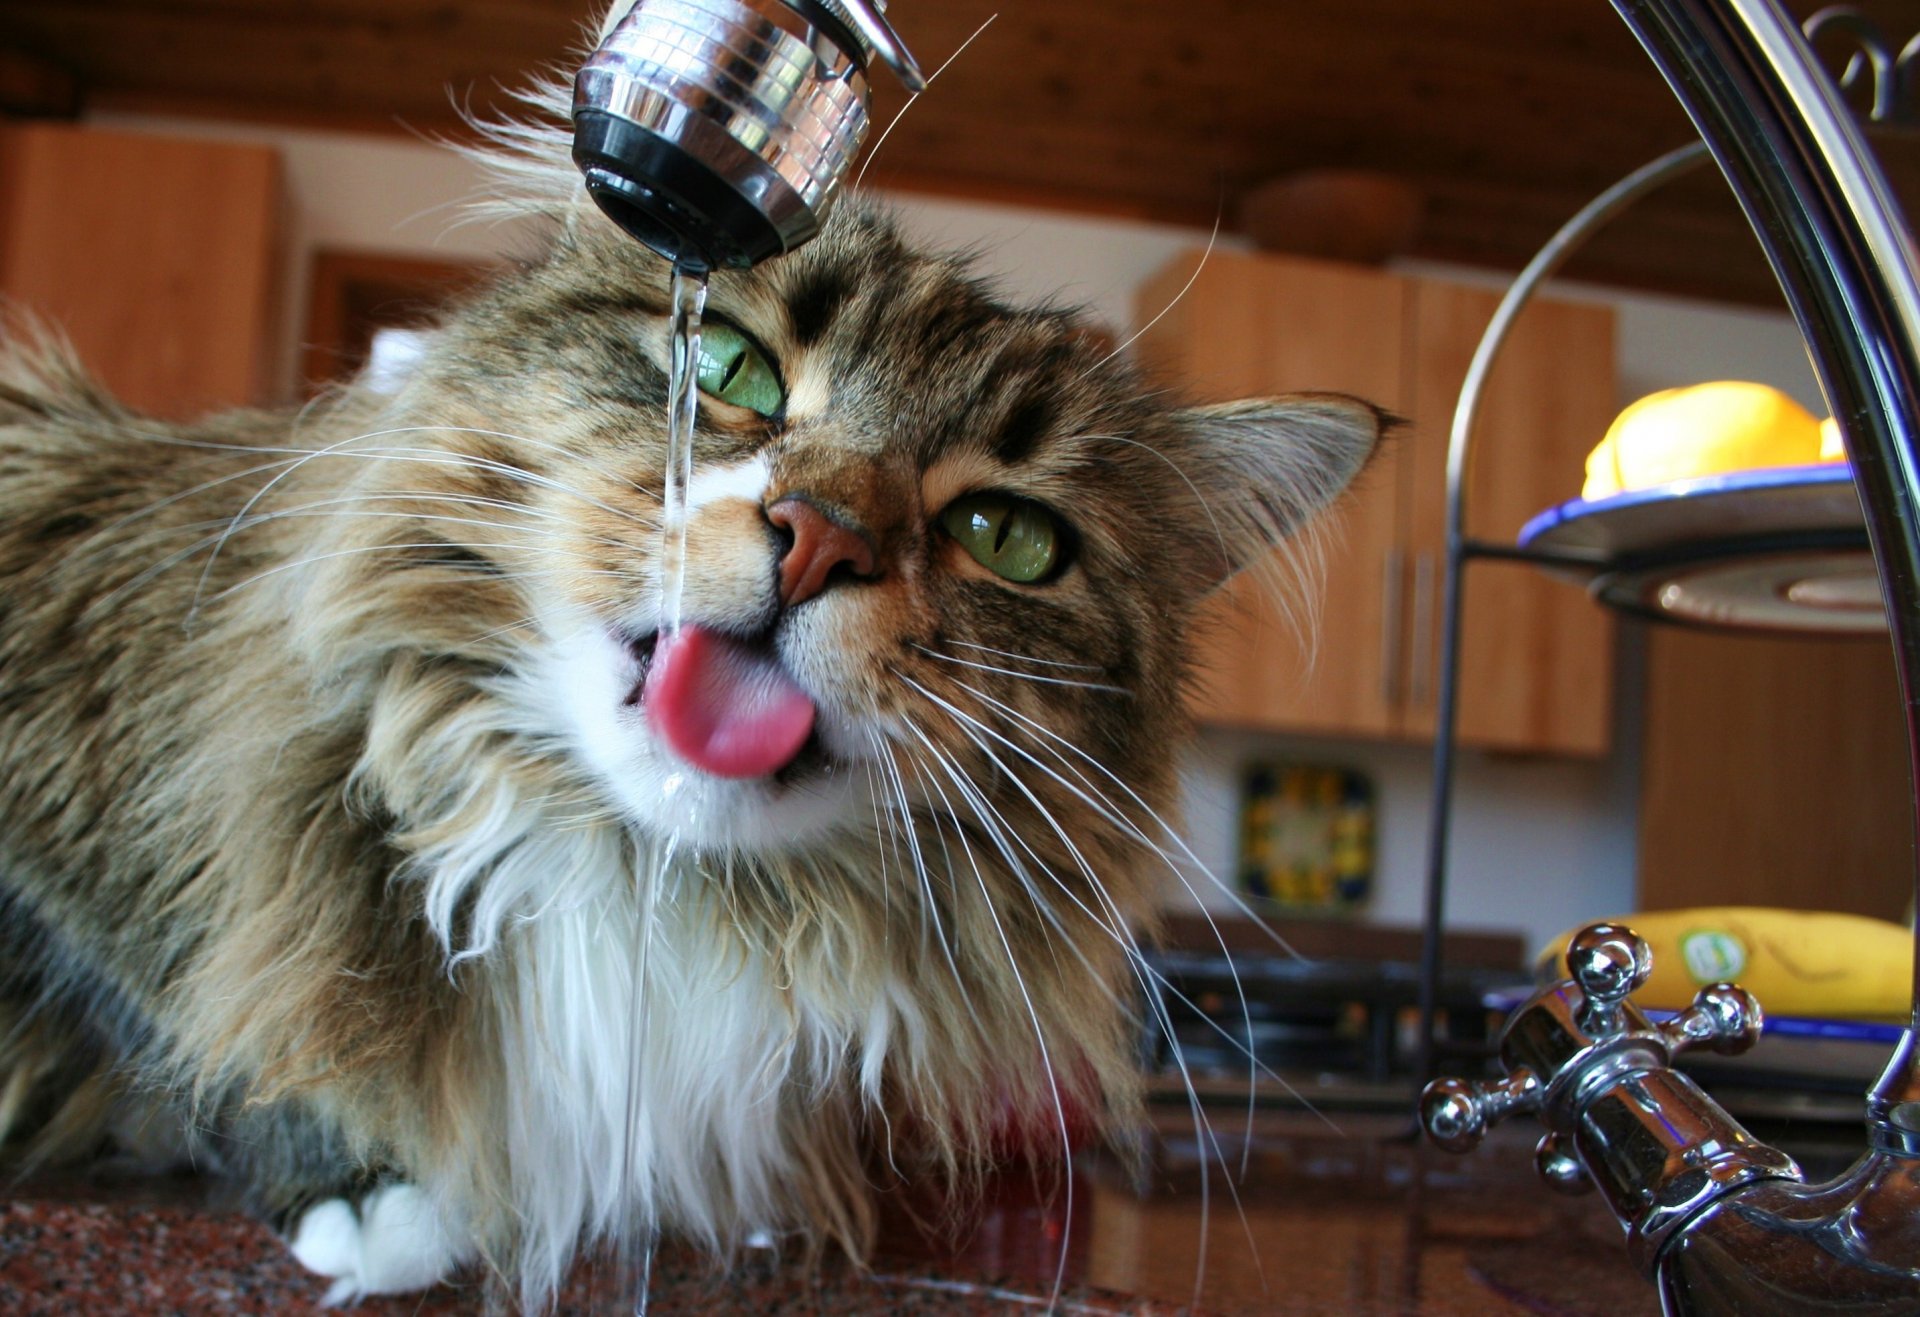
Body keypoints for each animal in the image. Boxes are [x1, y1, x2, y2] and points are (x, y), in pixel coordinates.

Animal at [0, 5, 1382, 1313]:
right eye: (732, 367)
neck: (645, 892)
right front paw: (360, 1183)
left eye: (1011, 538)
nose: (823, 536)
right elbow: (149, 974)